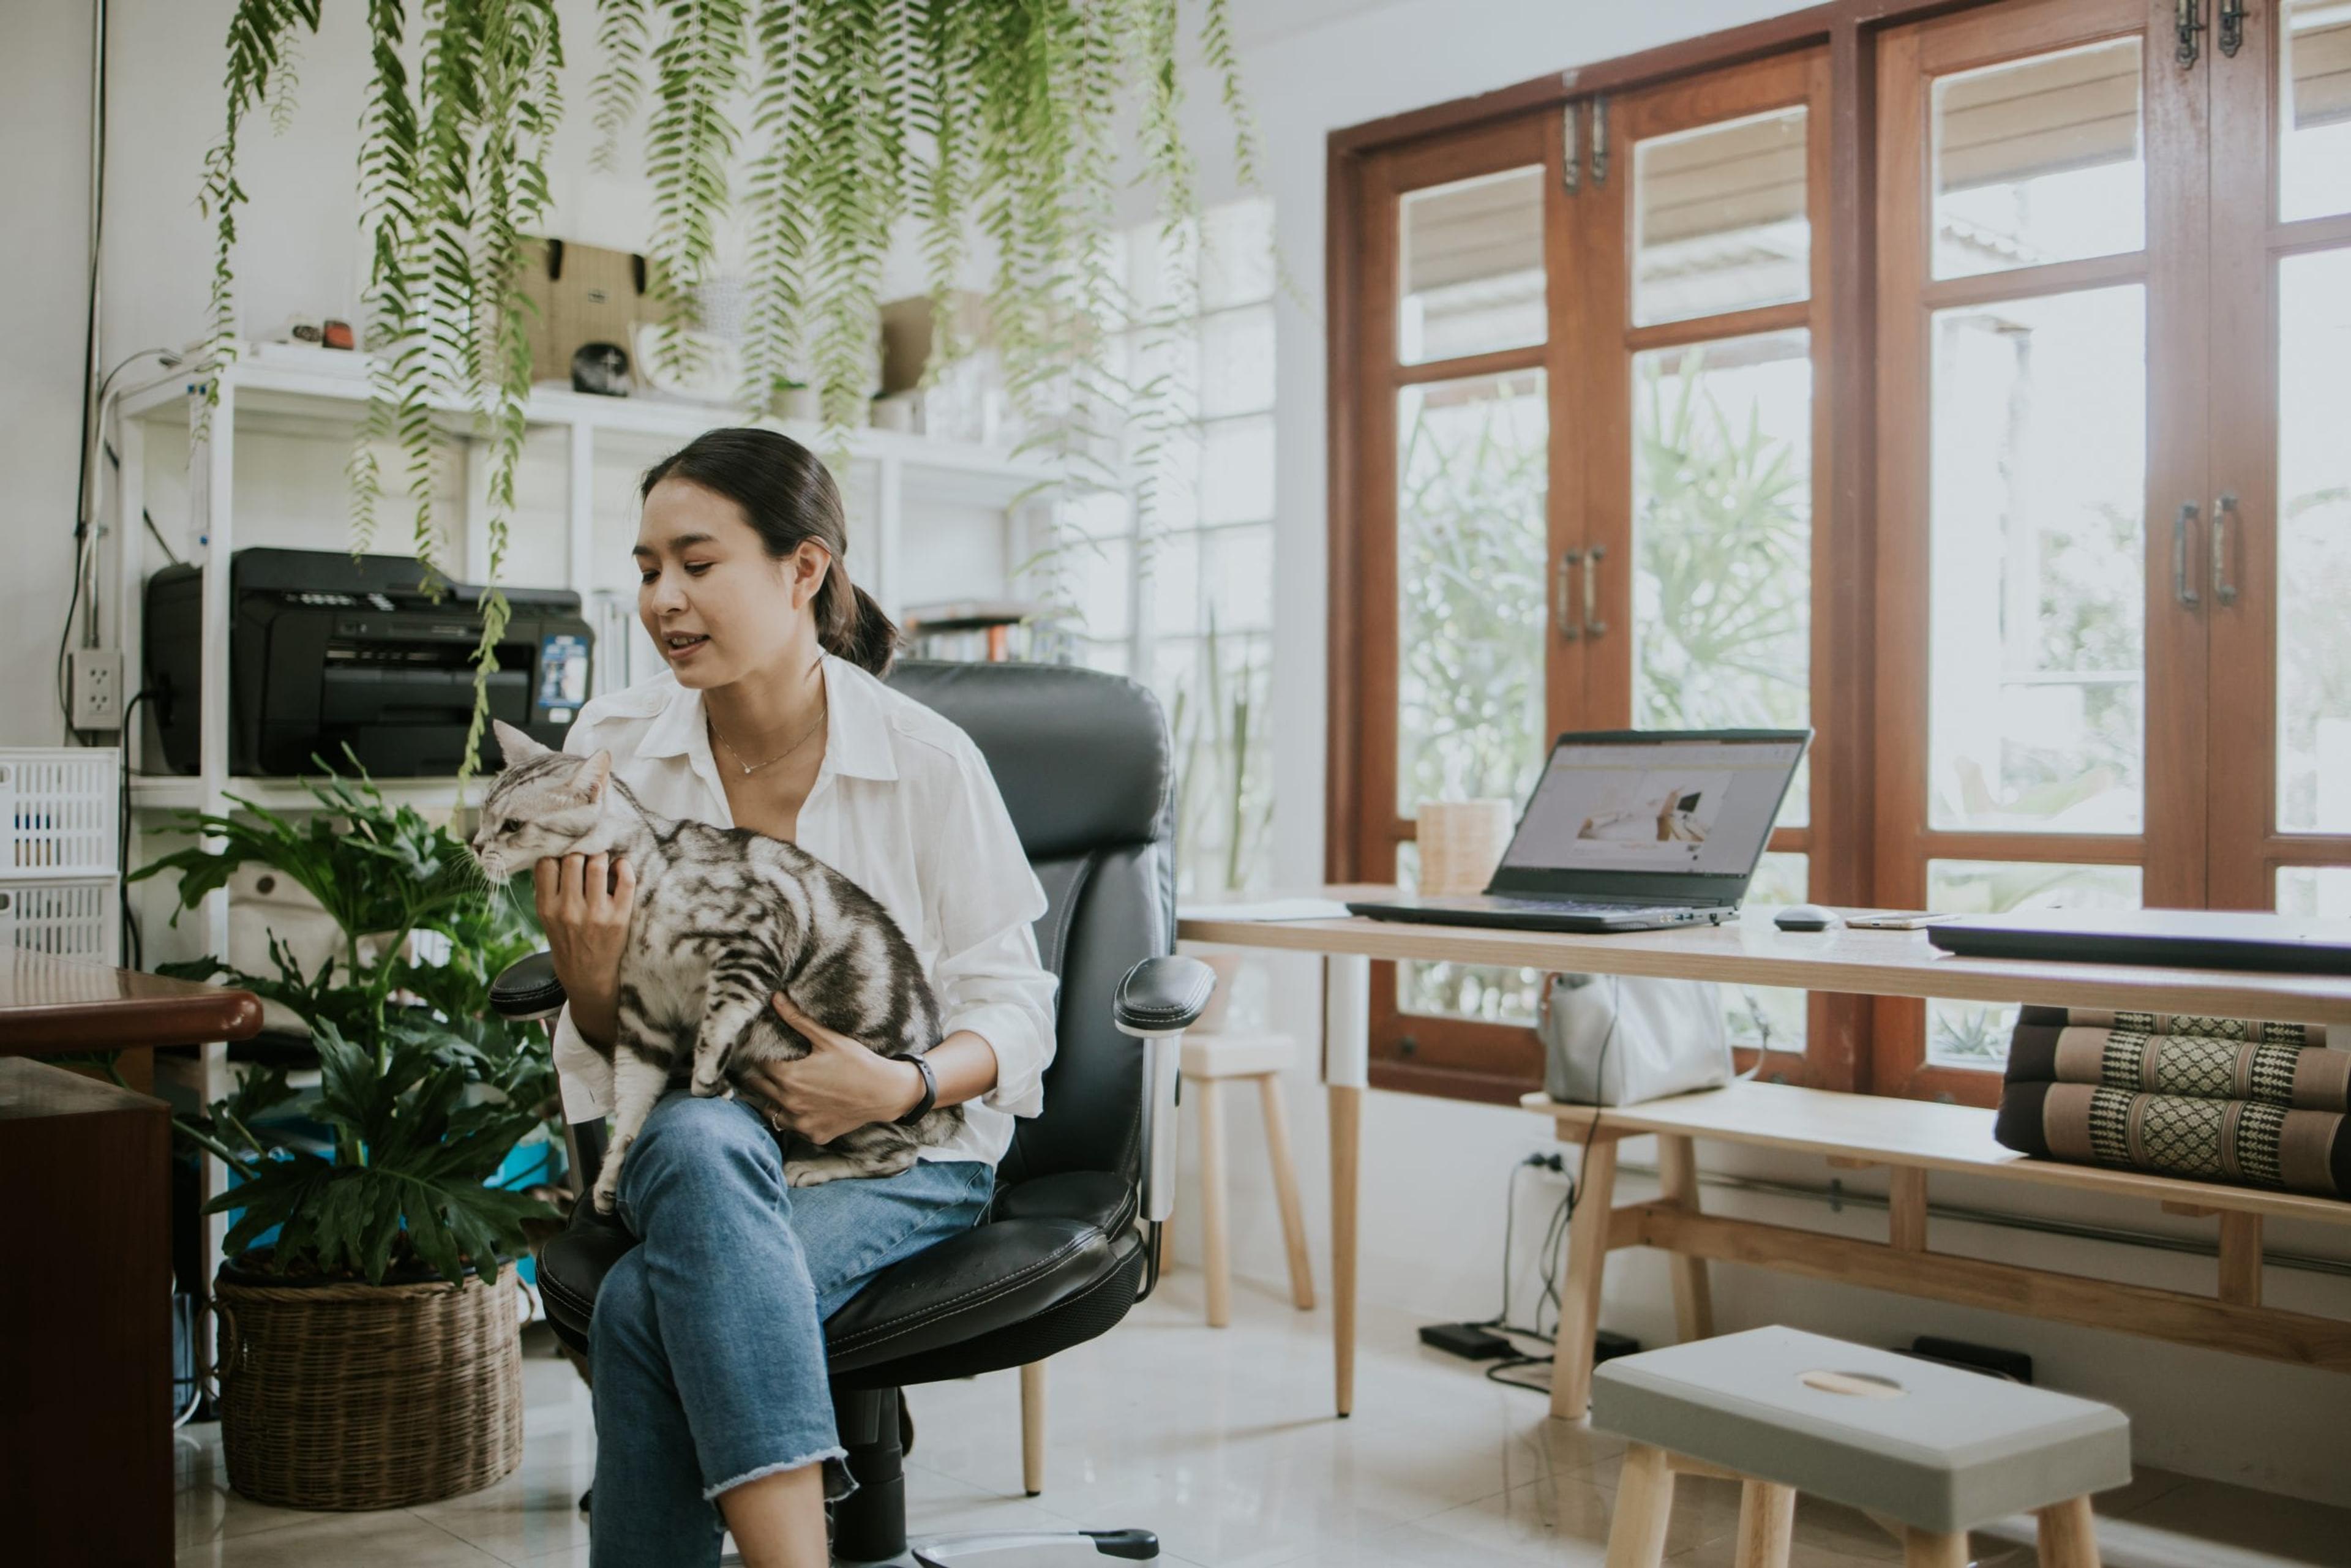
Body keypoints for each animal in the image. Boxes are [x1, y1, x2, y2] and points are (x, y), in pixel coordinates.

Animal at [472, 719, 959, 1213]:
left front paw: (707, 1073)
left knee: (898, 1156)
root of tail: (950, 1117)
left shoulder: (757, 934)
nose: (474, 846)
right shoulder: (644, 1016)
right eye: (484, 815)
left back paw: (813, 1166)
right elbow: (631, 1100)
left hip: (861, 1113)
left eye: (512, 825)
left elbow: (721, 1014)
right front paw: (610, 1173)